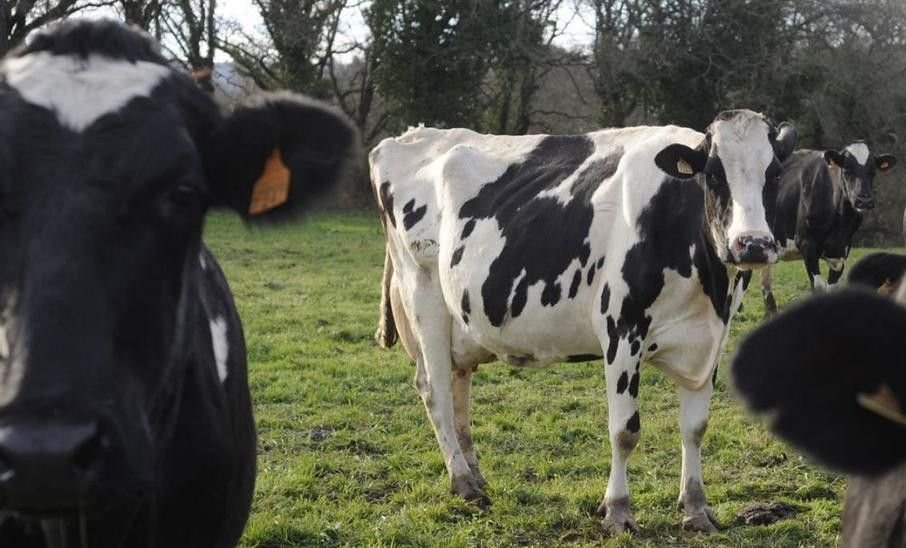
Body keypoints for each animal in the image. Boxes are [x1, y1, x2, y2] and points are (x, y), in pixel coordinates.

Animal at [370, 112, 796, 536]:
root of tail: (410, 135)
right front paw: (618, 511)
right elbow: (625, 431)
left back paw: (474, 474)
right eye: (713, 175)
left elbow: (695, 427)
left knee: (459, 385)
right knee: (435, 391)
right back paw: (462, 482)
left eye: (774, 173)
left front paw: (695, 508)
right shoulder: (622, 331)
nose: (752, 244)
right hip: (423, 298)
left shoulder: (708, 340)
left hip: (462, 319)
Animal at [760, 138, 892, 312]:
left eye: (873, 171)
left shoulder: (842, 251)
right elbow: (818, 287)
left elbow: (832, 288)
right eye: (847, 169)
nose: (864, 200)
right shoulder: (807, 245)